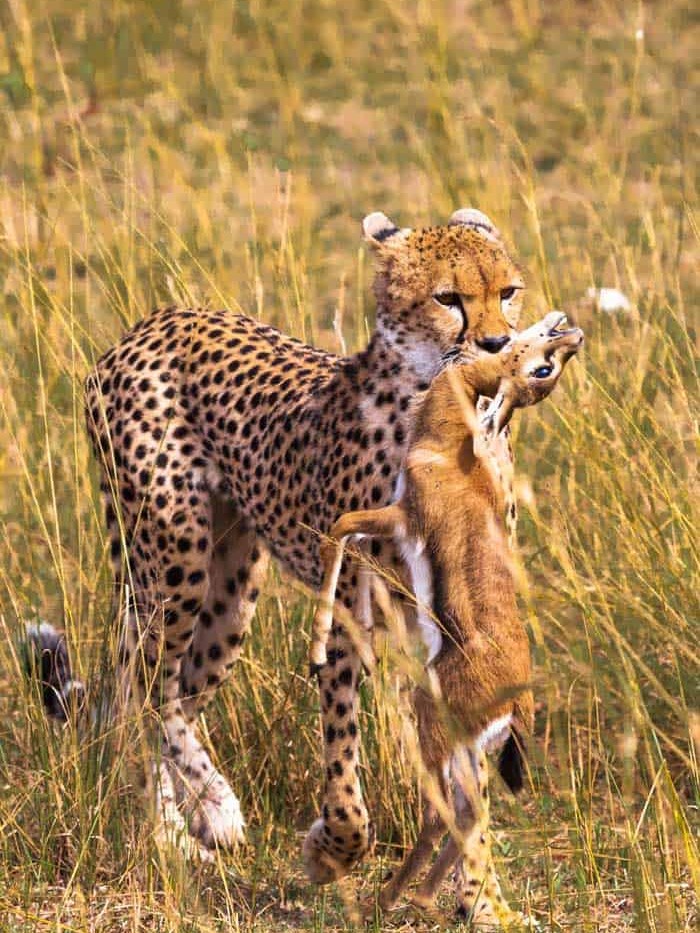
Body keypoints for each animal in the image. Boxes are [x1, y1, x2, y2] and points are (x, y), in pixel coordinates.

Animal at [36, 207, 526, 877]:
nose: (499, 344)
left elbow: (457, 753)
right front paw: (338, 844)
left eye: (508, 292)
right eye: (447, 298)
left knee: (173, 691)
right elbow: (343, 745)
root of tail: (151, 323)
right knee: (144, 686)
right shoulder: (348, 606)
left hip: (230, 592)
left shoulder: (457, 610)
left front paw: (471, 875)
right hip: (172, 563)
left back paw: (188, 813)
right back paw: (188, 821)